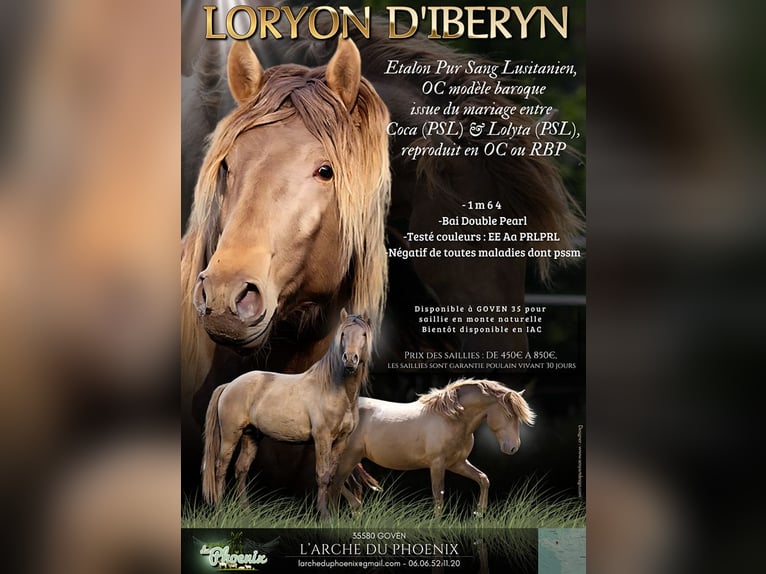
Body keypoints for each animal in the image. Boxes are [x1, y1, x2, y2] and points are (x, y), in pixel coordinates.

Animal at [202, 310, 371, 518]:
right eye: (343, 334)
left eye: (363, 334)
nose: (350, 359)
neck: (335, 390)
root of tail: (229, 385)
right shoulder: (322, 438)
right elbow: (322, 475)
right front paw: (323, 515)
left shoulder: (341, 440)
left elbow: (333, 475)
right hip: (230, 435)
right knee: (220, 468)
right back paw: (219, 512)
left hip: (251, 435)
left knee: (241, 469)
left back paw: (246, 511)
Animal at [329, 379, 536, 516]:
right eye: (509, 415)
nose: (513, 448)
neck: (450, 418)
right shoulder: (437, 464)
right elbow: (439, 496)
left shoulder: (457, 463)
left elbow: (483, 479)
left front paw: (480, 513)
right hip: (348, 457)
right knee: (334, 484)